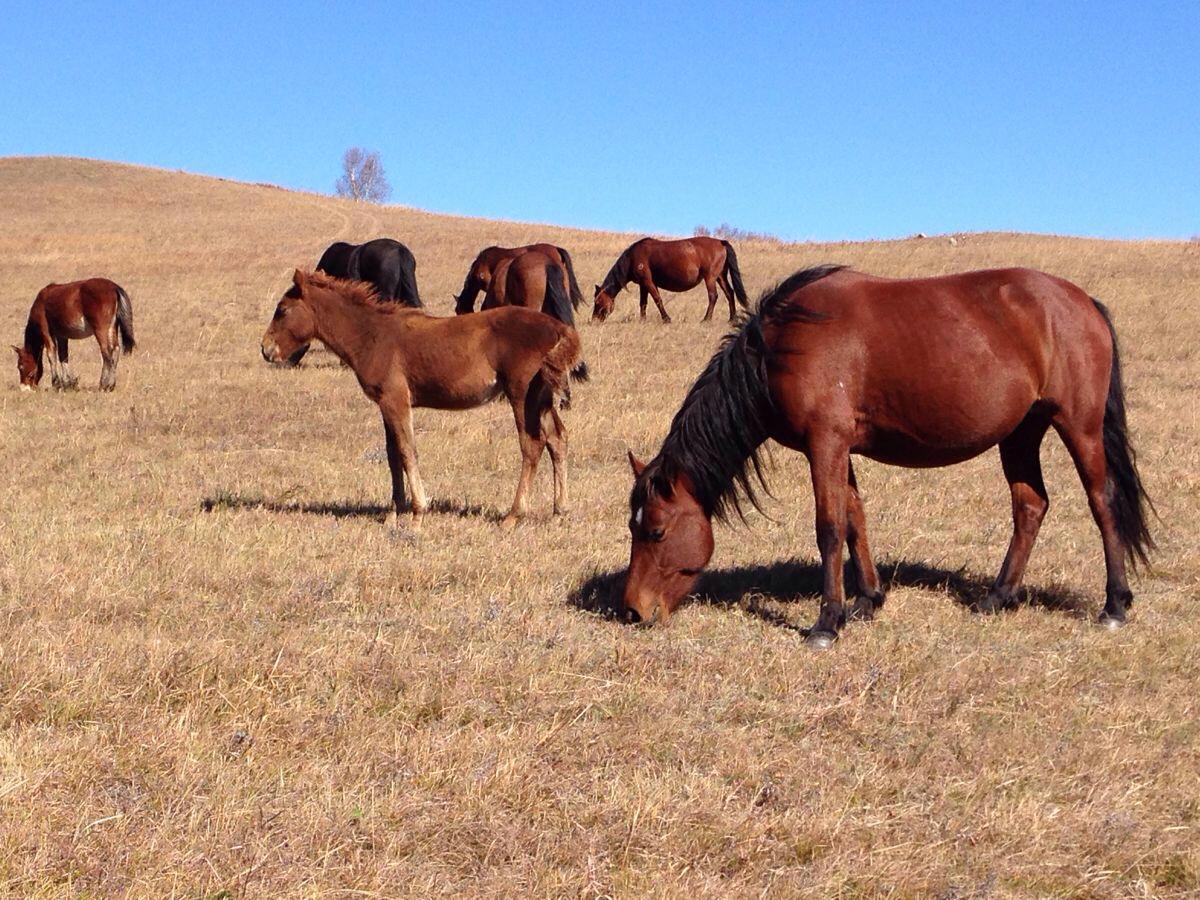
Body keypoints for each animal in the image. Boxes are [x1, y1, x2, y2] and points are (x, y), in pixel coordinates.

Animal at [260, 271, 583, 532]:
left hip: (521, 395)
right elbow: (392, 455)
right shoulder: (384, 404)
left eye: (282, 310)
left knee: (532, 444)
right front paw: (394, 513)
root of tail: (558, 328)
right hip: (541, 397)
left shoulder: (396, 400)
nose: (265, 349)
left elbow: (407, 451)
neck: (373, 335)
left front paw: (417, 514)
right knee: (558, 438)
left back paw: (513, 515)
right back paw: (560, 510)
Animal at [592, 237, 748, 326]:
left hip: (710, 277)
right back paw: (732, 319)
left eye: (598, 302)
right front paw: (642, 320)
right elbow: (643, 303)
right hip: (720, 276)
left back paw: (706, 319)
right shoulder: (643, 284)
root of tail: (721, 242)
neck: (632, 258)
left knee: (713, 296)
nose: (594, 320)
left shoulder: (648, 282)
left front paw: (666, 319)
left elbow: (657, 300)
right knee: (730, 293)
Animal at [619, 264, 1152, 643]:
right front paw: (868, 601)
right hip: (1021, 433)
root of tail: (1081, 301)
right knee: (1030, 506)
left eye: (656, 531)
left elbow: (830, 528)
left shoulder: (826, 444)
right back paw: (998, 597)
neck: (783, 347)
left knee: (1102, 502)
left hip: (1078, 426)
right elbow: (856, 519)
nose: (632, 610)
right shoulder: (839, 449)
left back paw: (1115, 605)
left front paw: (827, 622)